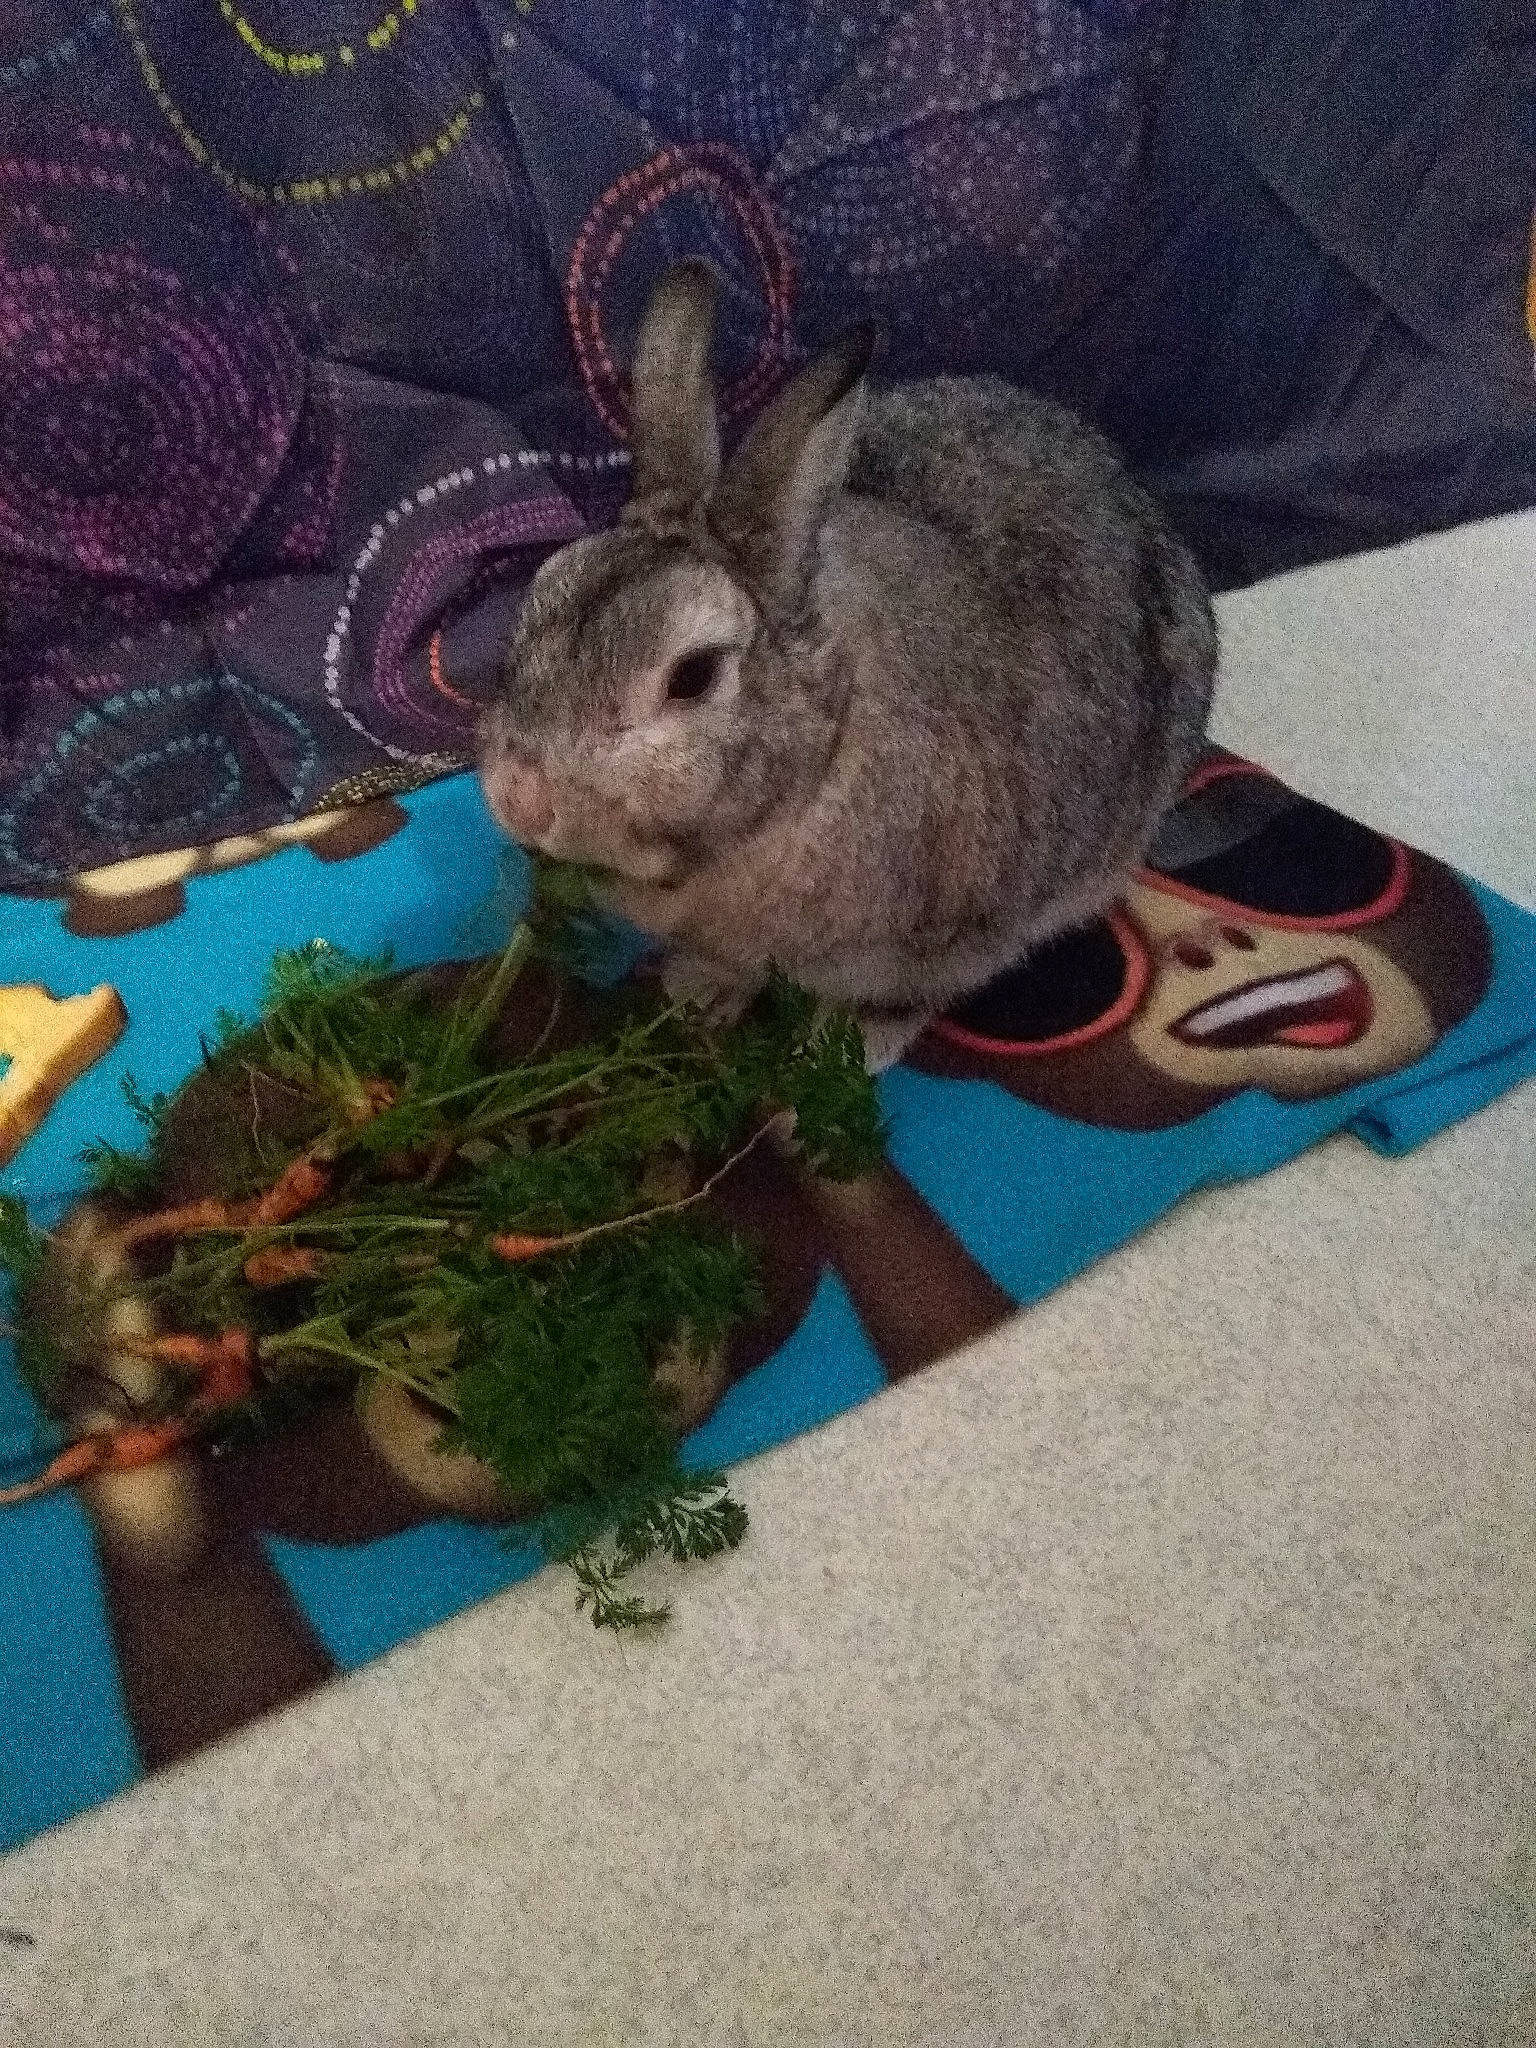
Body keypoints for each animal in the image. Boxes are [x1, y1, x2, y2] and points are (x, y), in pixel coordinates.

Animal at [480, 260, 1216, 1070]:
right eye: (543, 592)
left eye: (693, 677)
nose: (517, 797)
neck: (818, 755)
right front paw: (696, 996)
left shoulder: (954, 941)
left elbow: (896, 1004)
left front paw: (846, 1053)